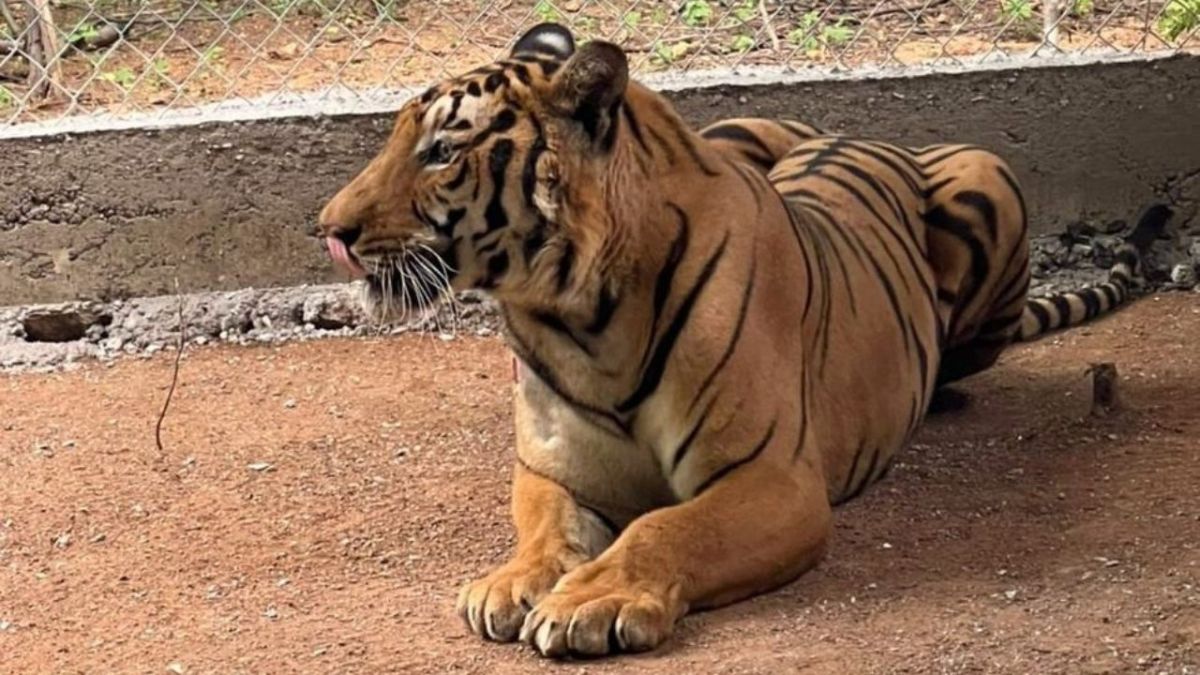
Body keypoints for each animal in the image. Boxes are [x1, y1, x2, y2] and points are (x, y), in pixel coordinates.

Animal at [316, 23, 1171, 653]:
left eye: (441, 151)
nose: (329, 230)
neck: (572, 319)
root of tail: (858, 134)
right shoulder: (553, 467)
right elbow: (545, 526)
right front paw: (511, 579)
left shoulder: (773, 477)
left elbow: (665, 526)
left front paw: (594, 598)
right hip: (737, 125)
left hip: (987, 175)